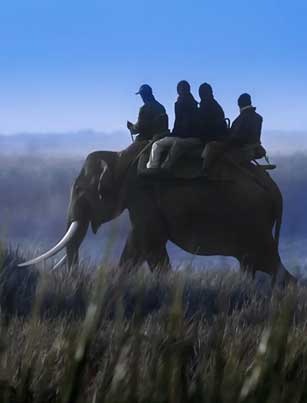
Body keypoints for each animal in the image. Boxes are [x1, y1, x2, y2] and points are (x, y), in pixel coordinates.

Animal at [18, 141, 296, 284]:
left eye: (78, 189)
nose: (73, 276)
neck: (120, 155)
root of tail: (278, 193)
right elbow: (139, 244)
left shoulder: (142, 194)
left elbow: (148, 241)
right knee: (256, 264)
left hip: (254, 223)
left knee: (268, 263)